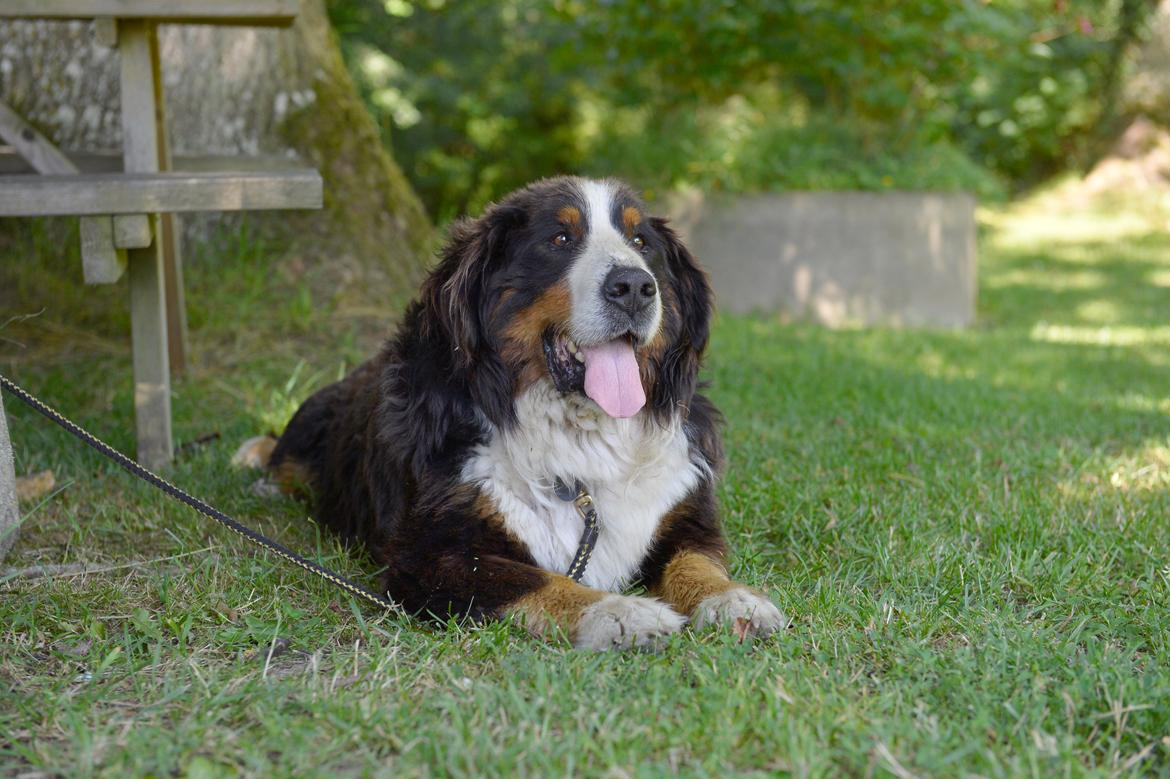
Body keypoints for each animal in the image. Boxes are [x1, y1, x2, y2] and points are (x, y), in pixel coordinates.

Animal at [235, 175, 786, 650]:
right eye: (560, 238)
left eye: (640, 241)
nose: (634, 286)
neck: (581, 435)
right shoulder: (433, 555)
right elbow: (535, 579)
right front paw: (619, 613)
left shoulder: (683, 514)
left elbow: (696, 562)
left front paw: (733, 599)